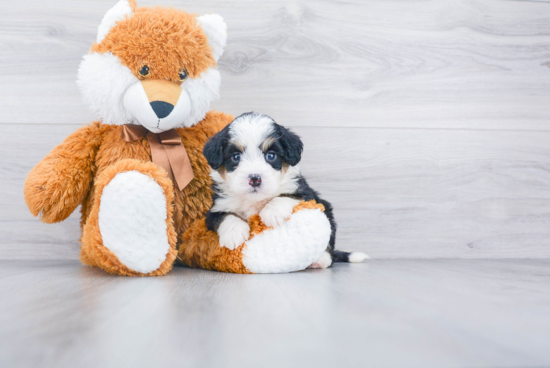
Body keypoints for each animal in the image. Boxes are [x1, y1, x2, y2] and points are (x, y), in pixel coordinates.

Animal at [202, 111, 366, 268]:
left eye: (271, 155)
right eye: (235, 157)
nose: (254, 178)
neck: (255, 200)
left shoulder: (306, 194)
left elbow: (287, 196)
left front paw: (272, 212)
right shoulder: (215, 208)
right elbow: (225, 216)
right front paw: (234, 234)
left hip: (326, 212)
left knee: (329, 244)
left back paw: (321, 259)